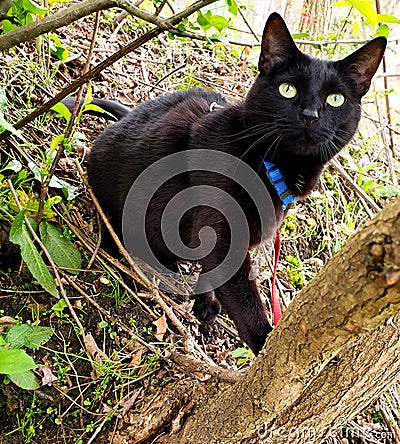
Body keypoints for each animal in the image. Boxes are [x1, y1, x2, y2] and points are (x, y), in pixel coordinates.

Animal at [65, 12, 384, 356]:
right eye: (287, 89)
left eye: (335, 99)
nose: (310, 114)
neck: (266, 162)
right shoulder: (223, 232)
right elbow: (242, 297)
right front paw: (263, 347)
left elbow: (212, 270)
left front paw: (205, 302)